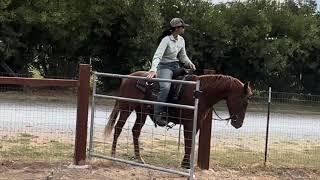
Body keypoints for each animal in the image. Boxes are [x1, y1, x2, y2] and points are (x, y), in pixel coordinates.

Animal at [104, 70, 252, 169]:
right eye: (244, 101)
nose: (238, 124)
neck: (200, 94)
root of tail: (127, 78)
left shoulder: (197, 123)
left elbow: (190, 142)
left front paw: (186, 163)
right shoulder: (189, 123)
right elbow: (188, 142)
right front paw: (186, 165)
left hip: (141, 112)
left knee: (135, 131)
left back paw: (139, 158)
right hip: (126, 109)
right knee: (118, 128)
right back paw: (113, 156)